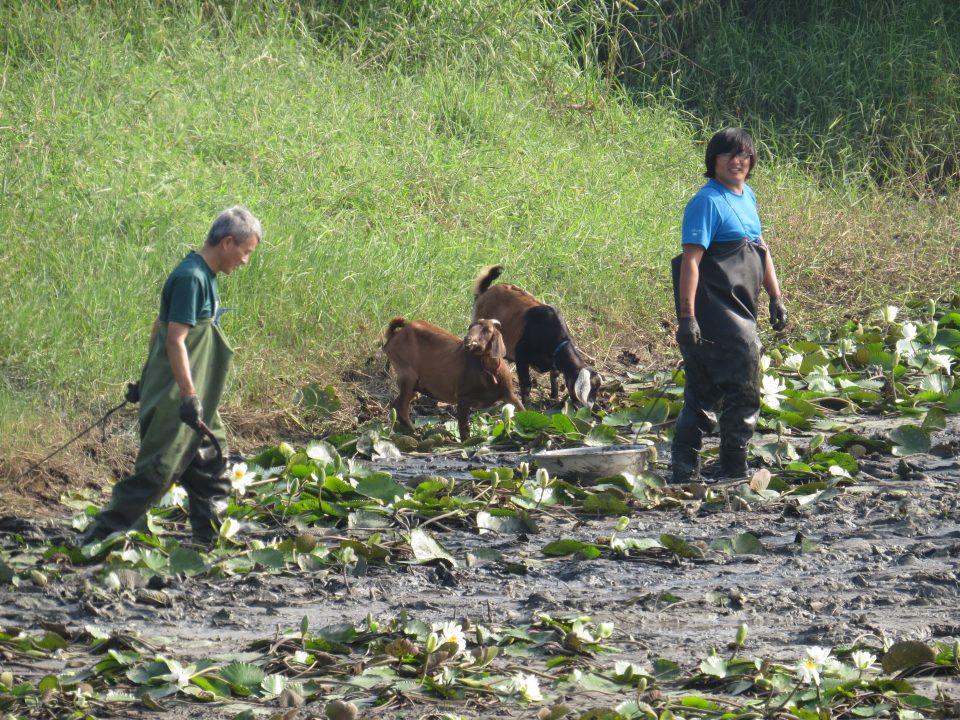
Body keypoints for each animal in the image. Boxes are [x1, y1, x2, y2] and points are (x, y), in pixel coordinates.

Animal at [380, 318, 524, 442]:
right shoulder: (463, 398)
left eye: (487, 330)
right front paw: (466, 444)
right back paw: (416, 434)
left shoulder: (509, 394)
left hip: (413, 385)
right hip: (408, 376)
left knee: (396, 405)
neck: (489, 371)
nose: (467, 340)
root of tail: (395, 335)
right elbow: (464, 428)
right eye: (470, 327)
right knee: (401, 408)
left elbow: (522, 409)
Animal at [472, 266, 600, 410]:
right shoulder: (521, 355)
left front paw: (554, 398)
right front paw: (526, 406)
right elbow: (526, 383)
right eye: (591, 390)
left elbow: (554, 377)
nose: (592, 409)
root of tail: (486, 291)